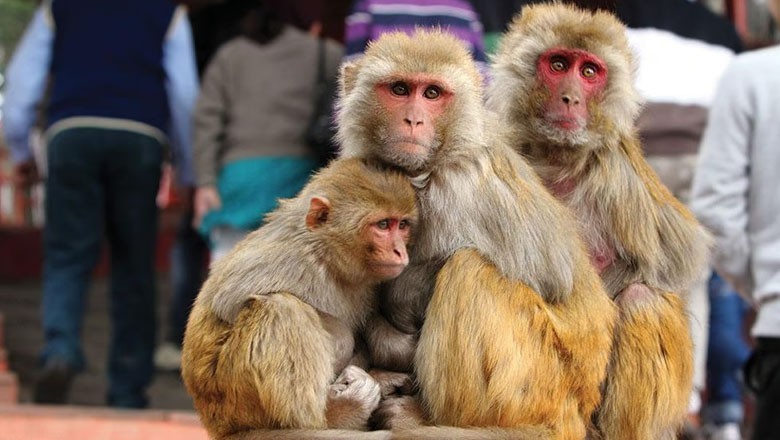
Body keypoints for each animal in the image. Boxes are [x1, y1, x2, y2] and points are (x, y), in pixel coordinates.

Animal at [180, 158, 418, 440]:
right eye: (383, 225)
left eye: (401, 225)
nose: (400, 251)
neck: (325, 254)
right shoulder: (291, 261)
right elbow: (227, 301)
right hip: (232, 400)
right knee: (281, 309)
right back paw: (332, 416)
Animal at [336, 29, 617, 439]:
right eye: (400, 89)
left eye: (432, 94)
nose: (413, 120)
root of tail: (577, 410)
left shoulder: (461, 185)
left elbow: (551, 275)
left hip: (535, 385)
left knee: (468, 270)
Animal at [486, 4, 712, 439]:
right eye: (558, 64)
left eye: (590, 71)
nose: (571, 97)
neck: (556, 160)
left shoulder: (619, 177)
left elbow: (675, 264)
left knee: (644, 299)